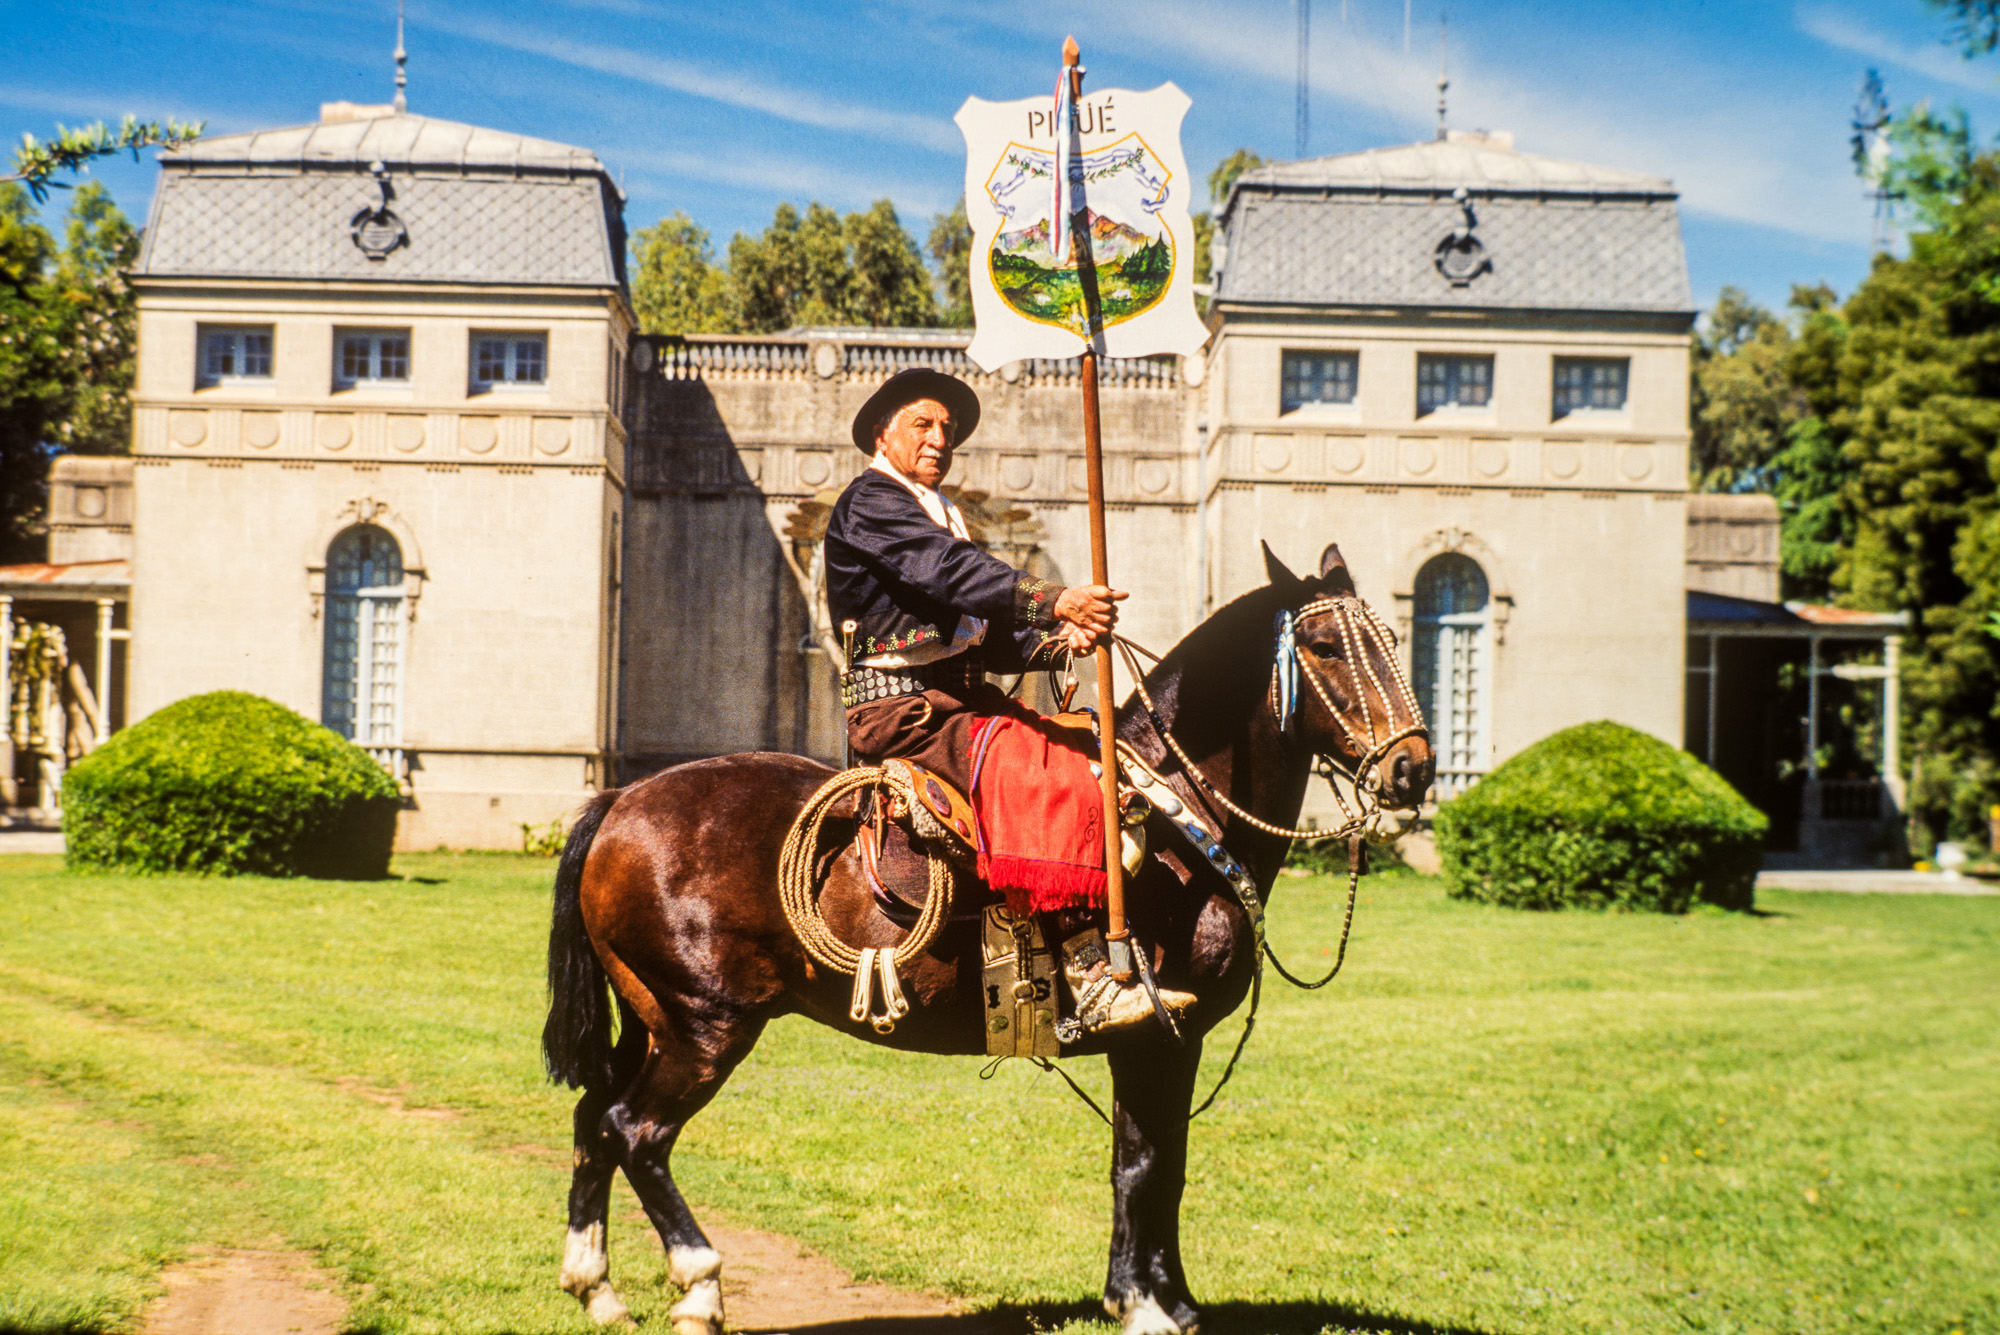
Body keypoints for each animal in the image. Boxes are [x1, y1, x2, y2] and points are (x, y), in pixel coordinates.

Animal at [540, 543, 1432, 1335]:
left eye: (1390, 640)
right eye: (1325, 647)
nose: (1414, 768)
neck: (1179, 806)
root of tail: (620, 799)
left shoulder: (1161, 1043)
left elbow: (1153, 1161)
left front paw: (1161, 1297)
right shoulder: (1156, 1037)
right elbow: (1147, 1163)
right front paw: (1145, 1303)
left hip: (649, 1017)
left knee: (593, 1119)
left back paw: (597, 1287)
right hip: (704, 1024)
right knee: (637, 1131)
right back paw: (698, 1285)